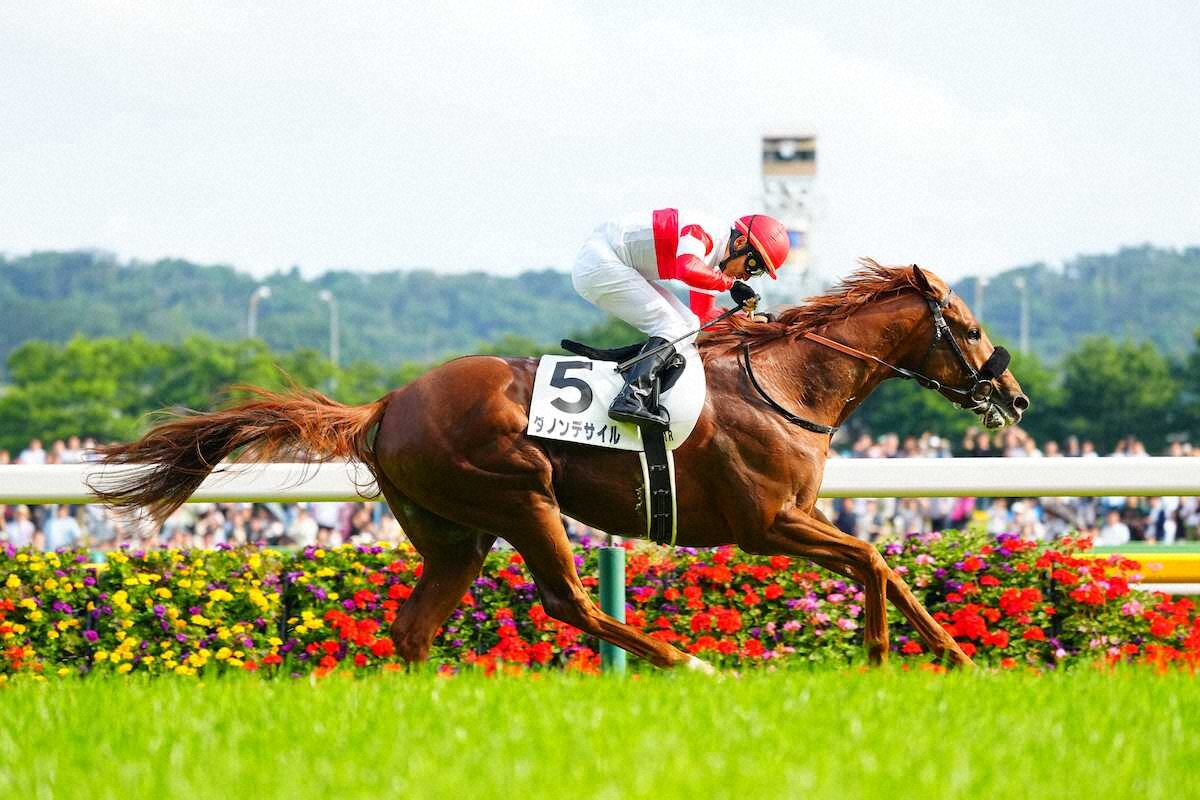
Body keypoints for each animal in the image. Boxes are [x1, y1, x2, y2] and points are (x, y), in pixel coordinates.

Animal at [90, 261, 1027, 671]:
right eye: (971, 327)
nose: (1015, 399)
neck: (789, 381)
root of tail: (386, 405)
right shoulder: (766, 524)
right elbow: (871, 557)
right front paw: (879, 652)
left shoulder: (799, 516)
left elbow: (885, 565)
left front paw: (954, 653)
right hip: (518, 494)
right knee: (568, 600)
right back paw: (688, 661)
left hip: (454, 531)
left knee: (415, 626)